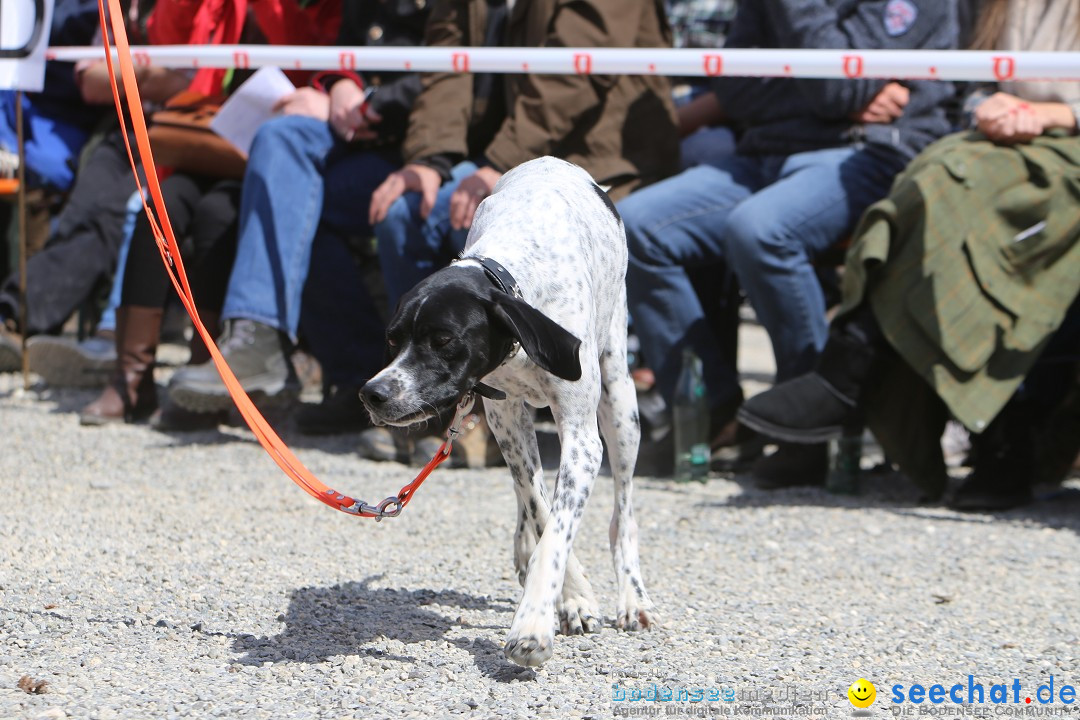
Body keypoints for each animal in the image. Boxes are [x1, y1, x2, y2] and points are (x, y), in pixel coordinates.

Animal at [358, 155, 652, 669]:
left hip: (620, 402)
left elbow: (558, 530)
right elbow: (540, 509)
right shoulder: (506, 419)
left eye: (443, 339)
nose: (372, 394)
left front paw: (533, 624)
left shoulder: (582, 438)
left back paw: (632, 597)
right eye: (393, 339)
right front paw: (573, 594)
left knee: (623, 513)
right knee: (528, 495)